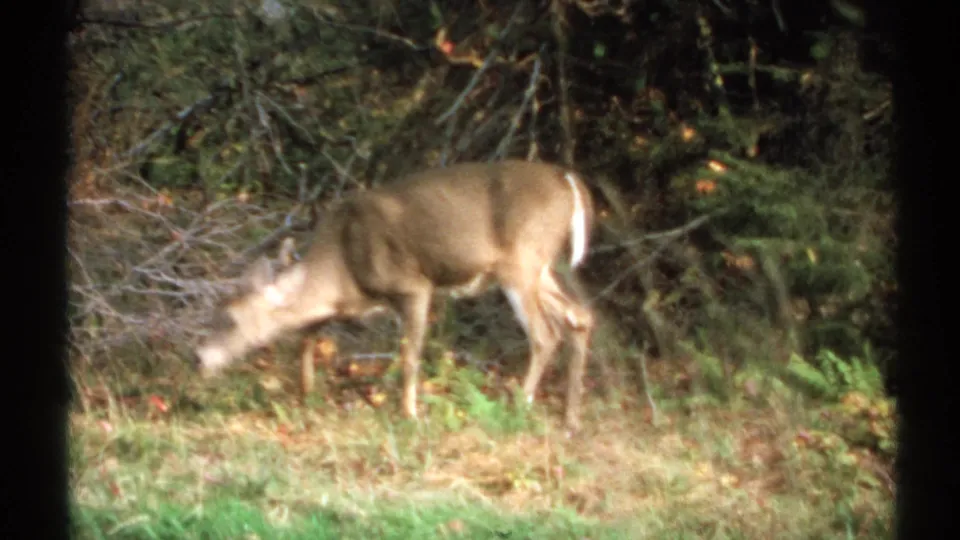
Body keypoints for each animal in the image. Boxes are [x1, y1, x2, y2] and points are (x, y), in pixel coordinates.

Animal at [193, 159, 596, 432]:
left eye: (230, 319)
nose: (198, 357)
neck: (342, 267)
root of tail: (568, 181)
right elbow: (308, 336)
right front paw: (306, 394)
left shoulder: (413, 285)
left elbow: (409, 356)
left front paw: (409, 415)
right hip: (541, 268)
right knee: (580, 317)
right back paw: (570, 420)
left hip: (521, 261)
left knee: (545, 333)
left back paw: (519, 408)